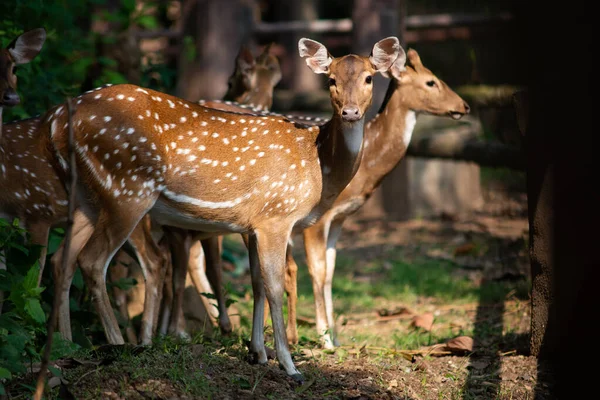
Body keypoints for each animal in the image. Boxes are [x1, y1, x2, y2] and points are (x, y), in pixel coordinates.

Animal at [44, 36, 400, 382]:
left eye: (369, 77)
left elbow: (256, 282)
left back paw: (66, 346)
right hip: (127, 190)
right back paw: (119, 344)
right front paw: (289, 365)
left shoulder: (253, 225)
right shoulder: (276, 215)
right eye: (331, 79)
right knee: (93, 261)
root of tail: (57, 121)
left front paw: (258, 353)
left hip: (87, 198)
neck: (318, 165)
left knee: (61, 258)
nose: (351, 112)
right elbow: (273, 286)